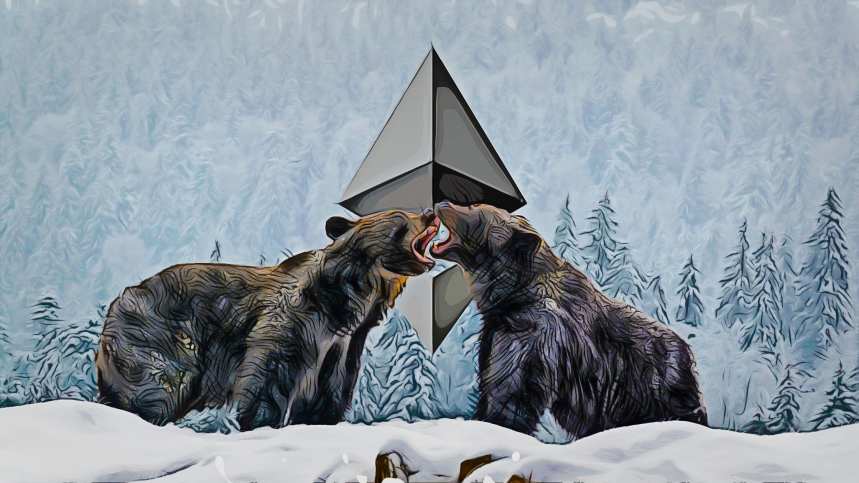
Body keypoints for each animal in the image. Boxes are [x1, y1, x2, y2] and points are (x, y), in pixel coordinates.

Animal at [96, 208, 440, 430]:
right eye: (401, 217)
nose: (430, 212)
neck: (347, 300)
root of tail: (117, 301)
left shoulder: (344, 347)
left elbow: (332, 390)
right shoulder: (293, 323)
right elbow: (268, 376)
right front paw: (258, 421)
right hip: (159, 338)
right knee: (158, 388)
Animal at [430, 201, 707, 439]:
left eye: (475, 209)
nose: (442, 203)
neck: (515, 294)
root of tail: (689, 351)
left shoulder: (534, 335)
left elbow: (510, 390)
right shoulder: (499, 330)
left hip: (657, 386)